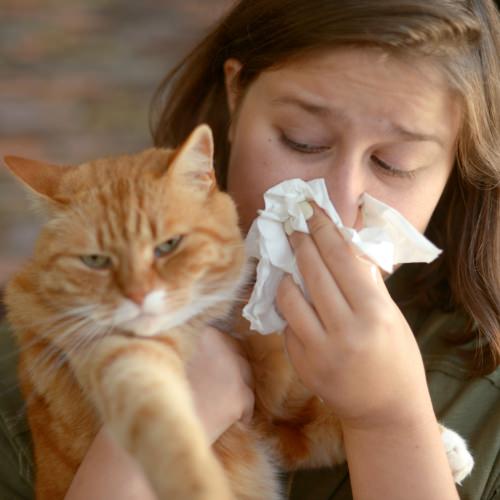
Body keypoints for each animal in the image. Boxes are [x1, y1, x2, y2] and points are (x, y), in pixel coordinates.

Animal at [3, 122, 472, 500]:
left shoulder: (280, 423)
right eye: (96, 261)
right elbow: (163, 423)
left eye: (168, 246)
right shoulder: (114, 356)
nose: (138, 295)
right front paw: (194, 477)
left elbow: (331, 416)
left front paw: (440, 443)